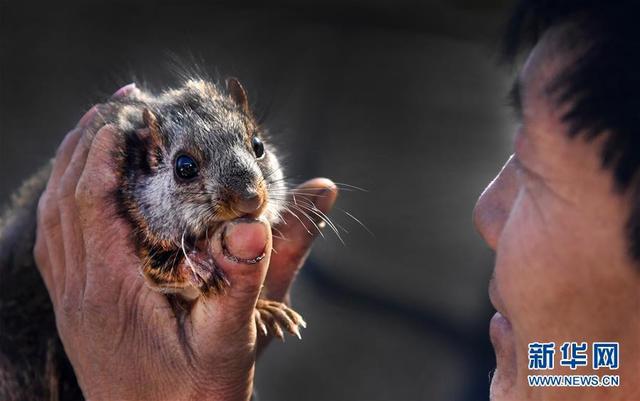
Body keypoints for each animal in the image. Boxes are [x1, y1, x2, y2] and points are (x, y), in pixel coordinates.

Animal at [0, 76, 310, 398]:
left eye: (258, 145)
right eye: (184, 167)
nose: (251, 199)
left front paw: (264, 308)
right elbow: (157, 266)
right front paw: (196, 267)